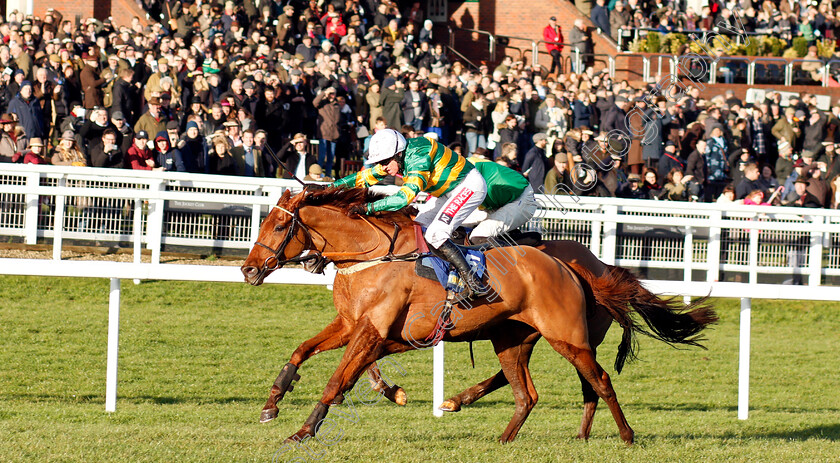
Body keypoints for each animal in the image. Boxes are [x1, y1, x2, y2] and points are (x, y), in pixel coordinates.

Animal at [241, 187, 716, 444]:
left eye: (279, 226)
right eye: (262, 223)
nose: (248, 269)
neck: (373, 254)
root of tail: (576, 266)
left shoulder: (373, 332)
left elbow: (338, 379)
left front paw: (304, 431)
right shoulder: (351, 326)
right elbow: (302, 351)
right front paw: (272, 402)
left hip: (569, 337)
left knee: (596, 380)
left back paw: (626, 436)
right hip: (514, 338)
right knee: (529, 392)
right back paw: (506, 434)